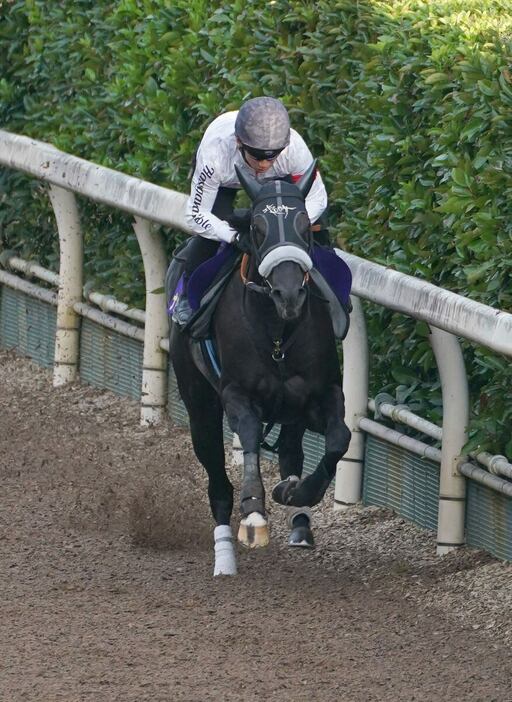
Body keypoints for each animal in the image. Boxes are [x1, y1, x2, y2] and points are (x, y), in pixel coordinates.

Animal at [168, 164, 352, 576]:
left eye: (304, 224)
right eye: (256, 227)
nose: (289, 294)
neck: (277, 335)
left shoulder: (321, 395)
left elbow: (339, 439)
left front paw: (299, 490)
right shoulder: (236, 394)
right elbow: (250, 432)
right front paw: (253, 511)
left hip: (291, 413)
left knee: (290, 450)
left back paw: (299, 522)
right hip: (199, 405)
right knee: (218, 484)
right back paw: (224, 559)